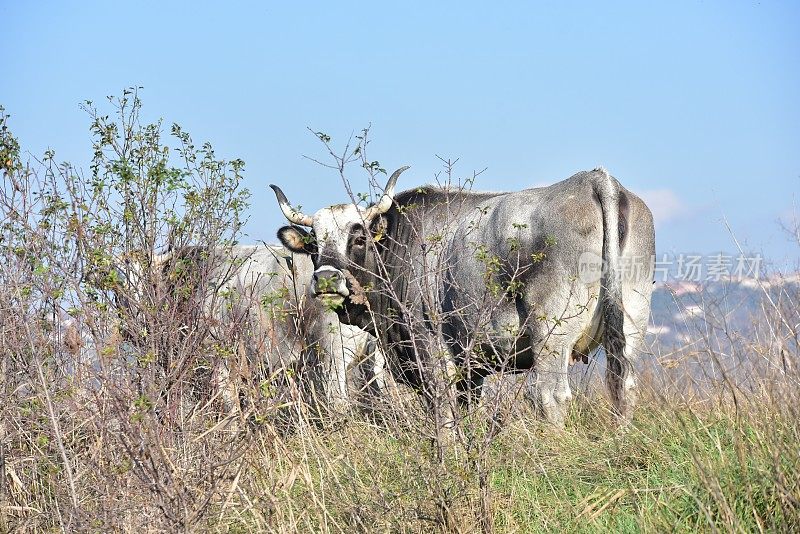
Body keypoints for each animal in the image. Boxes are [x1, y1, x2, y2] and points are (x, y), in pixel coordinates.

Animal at [272, 170, 652, 430]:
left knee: (551, 395)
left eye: (359, 237)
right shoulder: (472, 369)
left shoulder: (431, 355)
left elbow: (444, 417)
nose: (326, 279)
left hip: (551, 336)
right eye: (314, 243)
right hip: (630, 324)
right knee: (624, 385)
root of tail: (591, 179)